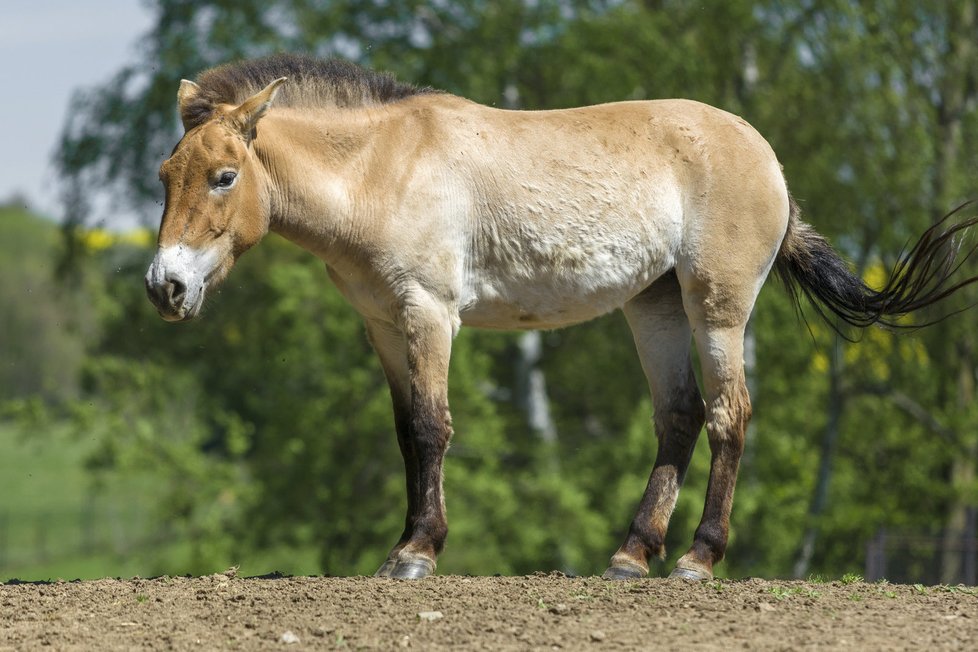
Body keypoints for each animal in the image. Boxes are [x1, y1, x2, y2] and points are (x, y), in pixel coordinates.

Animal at [145, 52, 976, 580]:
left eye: (224, 176)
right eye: (165, 174)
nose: (165, 287)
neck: (382, 167)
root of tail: (766, 157)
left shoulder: (428, 314)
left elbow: (433, 428)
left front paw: (417, 553)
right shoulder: (383, 324)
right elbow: (407, 432)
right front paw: (402, 546)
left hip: (716, 308)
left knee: (727, 415)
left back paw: (698, 559)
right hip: (654, 307)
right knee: (678, 416)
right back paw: (631, 556)